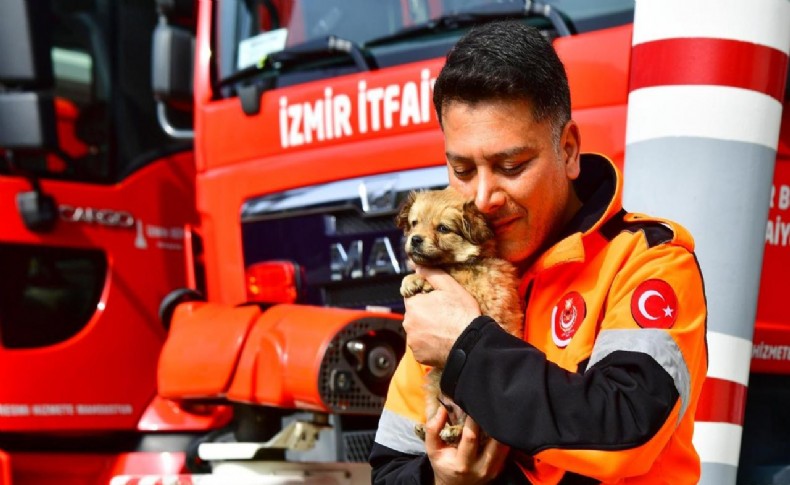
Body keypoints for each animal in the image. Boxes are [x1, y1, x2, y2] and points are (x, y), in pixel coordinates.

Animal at [396, 187, 524, 444]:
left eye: (443, 229)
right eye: (414, 223)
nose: (415, 239)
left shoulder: (475, 288)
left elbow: (452, 274)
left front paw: (418, 279)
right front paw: (410, 280)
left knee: (474, 430)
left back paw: (454, 431)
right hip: (435, 385)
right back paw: (428, 428)